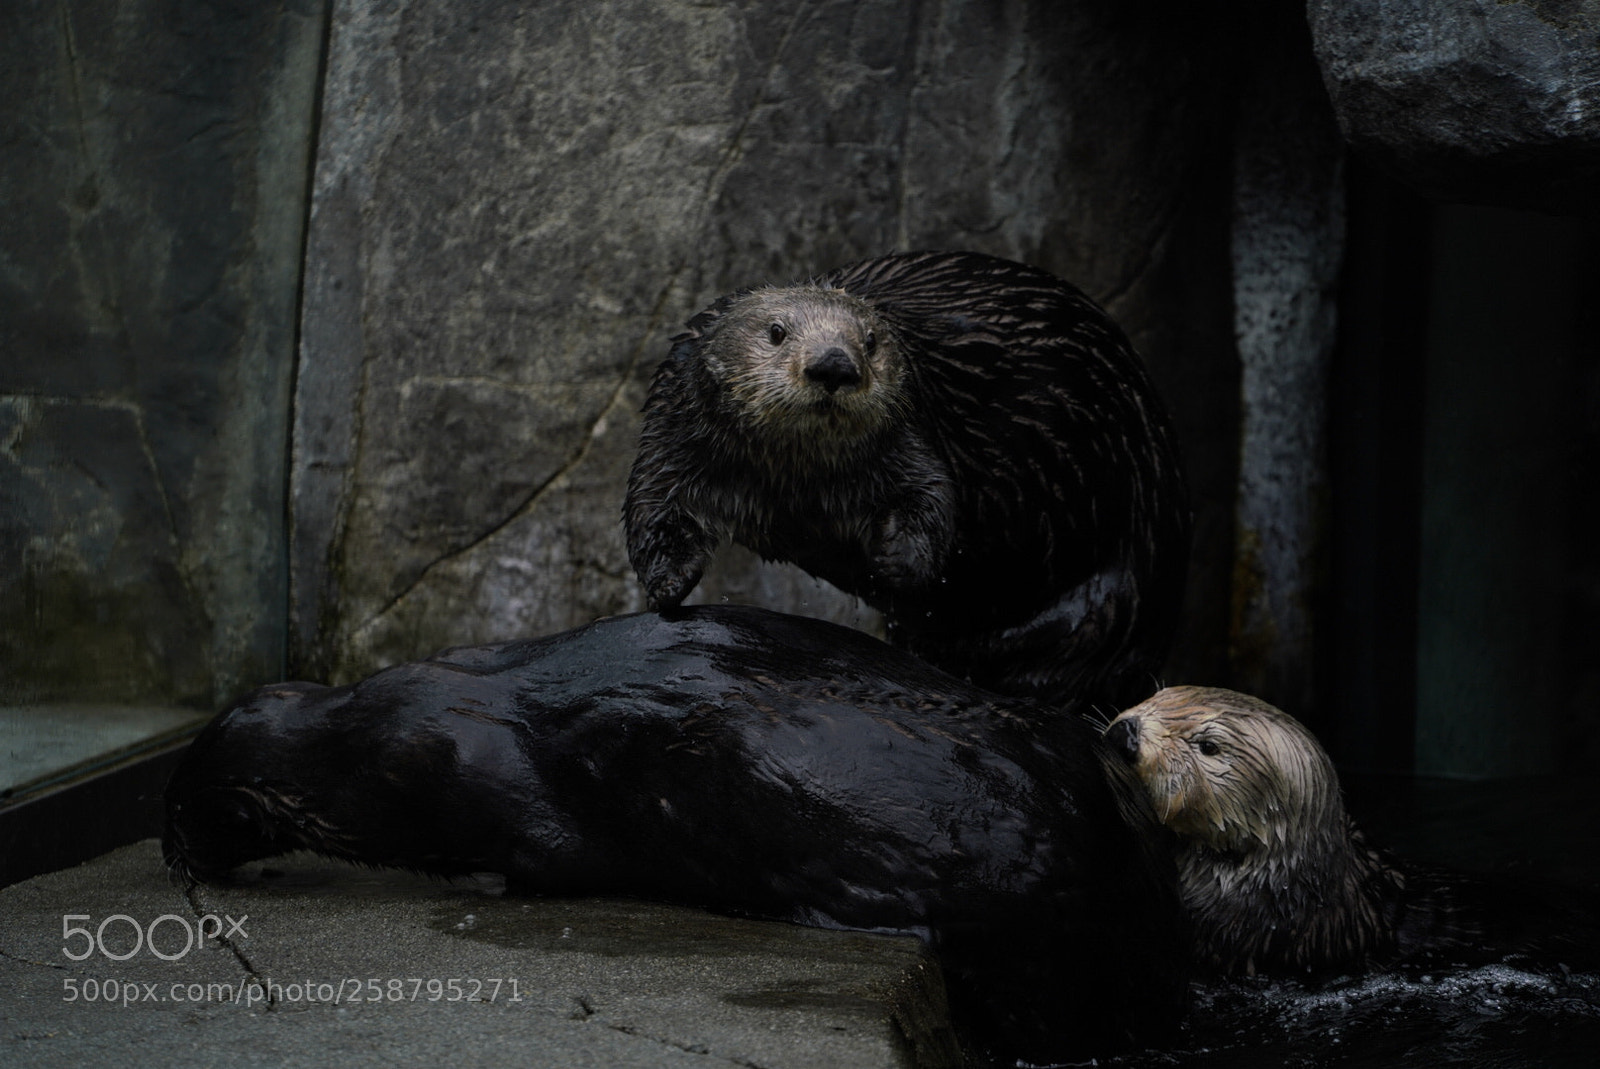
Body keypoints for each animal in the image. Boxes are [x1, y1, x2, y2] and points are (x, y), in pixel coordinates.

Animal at [624, 250, 1190, 710]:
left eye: (870, 341)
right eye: (777, 331)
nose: (834, 364)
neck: (795, 483)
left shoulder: (910, 436)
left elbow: (932, 500)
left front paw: (893, 561)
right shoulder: (673, 426)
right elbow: (652, 506)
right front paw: (668, 584)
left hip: (1111, 594)